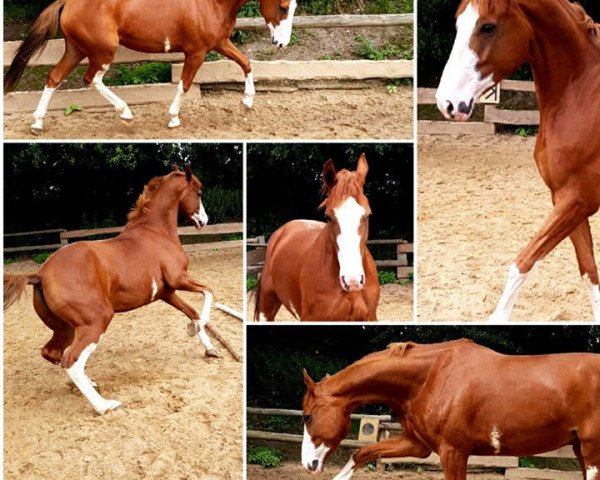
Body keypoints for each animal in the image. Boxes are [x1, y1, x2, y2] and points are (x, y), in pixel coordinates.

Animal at [2, 0, 298, 134]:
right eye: (283, 6)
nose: (282, 43)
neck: (211, 3)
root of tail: (67, 2)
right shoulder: (197, 52)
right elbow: (185, 84)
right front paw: (173, 118)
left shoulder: (220, 42)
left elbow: (246, 63)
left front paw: (247, 102)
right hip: (102, 51)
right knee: (91, 79)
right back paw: (126, 113)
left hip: (76, 50)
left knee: (53, 77)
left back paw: (37, 124)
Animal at [3, 167, 237, 414]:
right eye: (199, 192)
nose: (204, 220)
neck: (156, 233)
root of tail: (40, 274)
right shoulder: (179, 278)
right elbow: (209, 292)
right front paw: (196, 330)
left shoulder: (167, 292)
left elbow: (192, 311)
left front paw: (209, 347)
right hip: (97, 321)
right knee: (71, 361)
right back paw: (105, 405)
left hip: (66, 328)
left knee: (53, 353)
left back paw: (89, 383)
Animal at [302, 340, 600, 480]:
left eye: (307, 415)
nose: (309, 464)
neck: (431, 376)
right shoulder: (417, 445)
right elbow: (362, 453)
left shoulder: (453, 452)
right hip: (579, 448)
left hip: (591, 450)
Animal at [436, 0, 600, 322]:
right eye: (459, 24)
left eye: (487, 27)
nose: (446, 103)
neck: (581, 96)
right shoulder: (566, 199)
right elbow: (589, 272)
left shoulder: (578, 199)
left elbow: (523, 262)